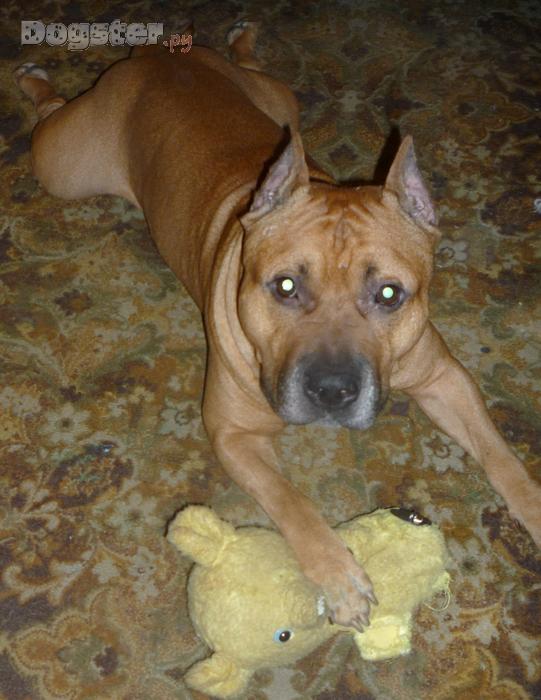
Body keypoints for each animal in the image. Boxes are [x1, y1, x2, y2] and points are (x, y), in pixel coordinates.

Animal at [16, 21, 540, 631]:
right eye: (286, 287)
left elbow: (502, 456)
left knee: (254, 72)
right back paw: (35, 77)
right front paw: (339, 576)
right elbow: (292, 501)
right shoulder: (234, 433)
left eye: (389, 294)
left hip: (275, 96)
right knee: (49, 110)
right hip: (62, 164)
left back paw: (243, 41)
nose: (333, 391)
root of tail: (157, 56)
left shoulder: (444, 379)